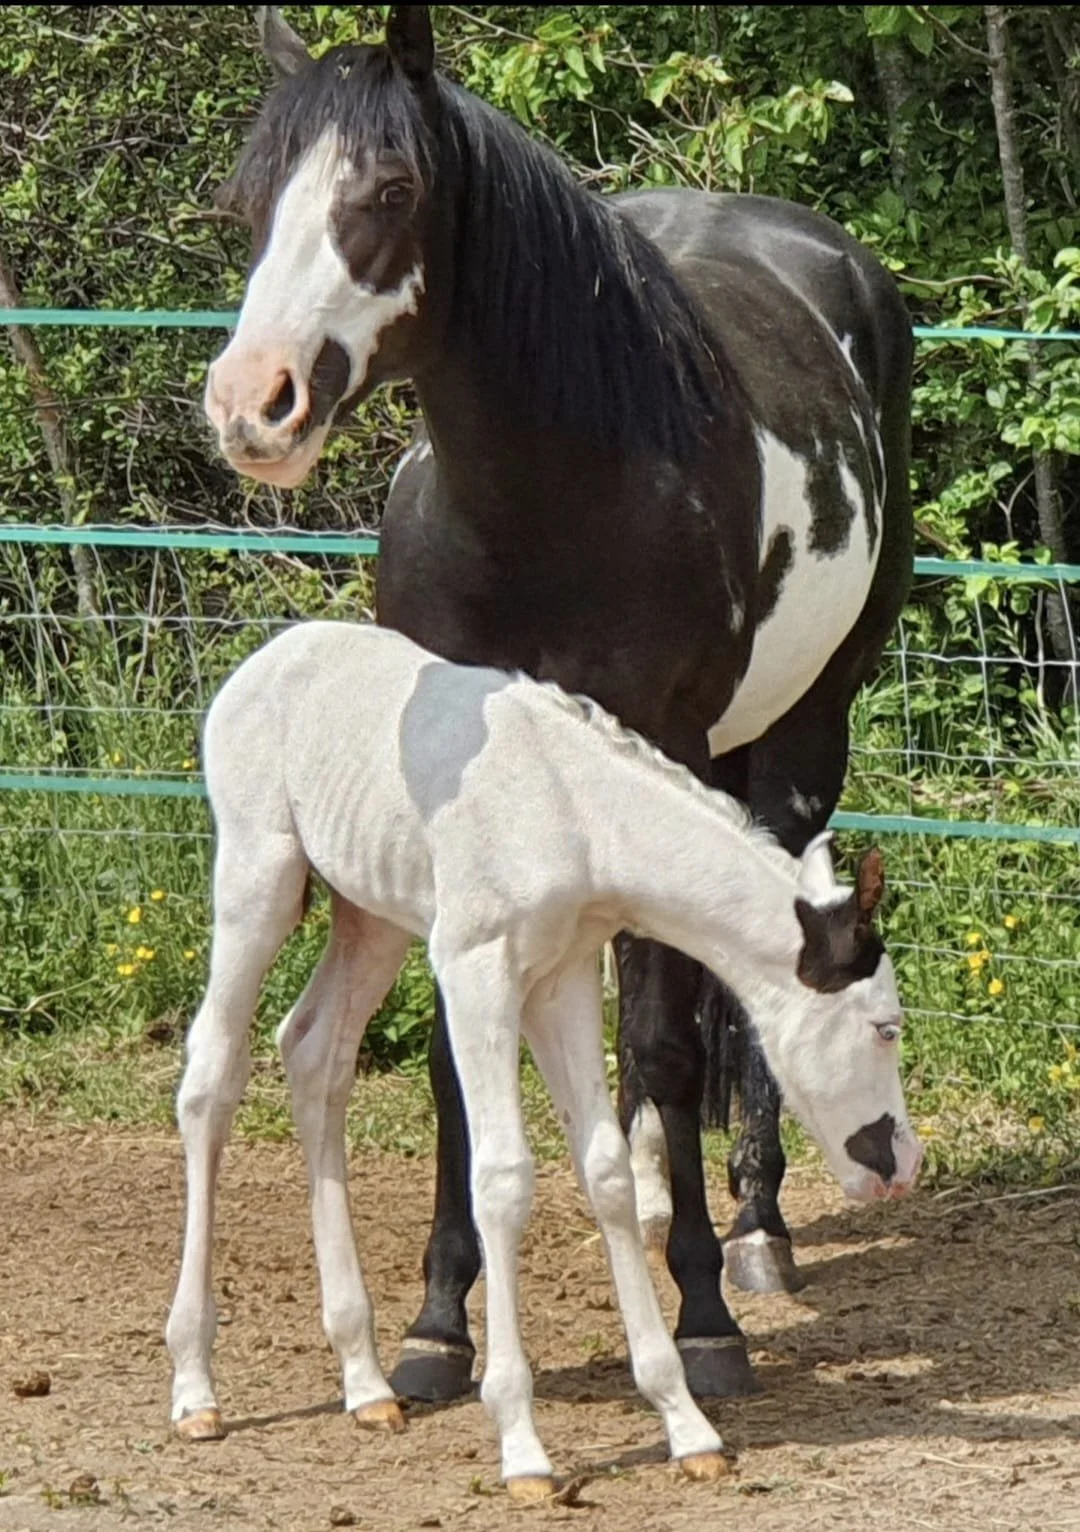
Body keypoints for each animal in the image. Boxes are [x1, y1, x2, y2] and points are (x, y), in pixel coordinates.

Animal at [164, 619, 921, 1496]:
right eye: (885, 1027)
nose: (903, 1164)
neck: (572, 810)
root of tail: (275, 653)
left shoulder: (562, 979)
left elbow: (608, 1174)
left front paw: (686, 1425)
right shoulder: (475, 968)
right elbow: (501, 1178)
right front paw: (522, 1445)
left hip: (370, 914)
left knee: (315, 1050)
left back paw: (366, 1382)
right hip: (259, 877)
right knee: (212, 1076)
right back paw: (195, 1388)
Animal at [202, 4, 914, 1402]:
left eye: (391, 188)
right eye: (253, 197)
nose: (254, 404)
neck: (552, 502)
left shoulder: (672, 741)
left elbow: (670, 1040)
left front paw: (702, 1319)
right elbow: (451, 1062)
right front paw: (437, 1320)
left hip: (800, 737)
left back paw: (751, 1227)